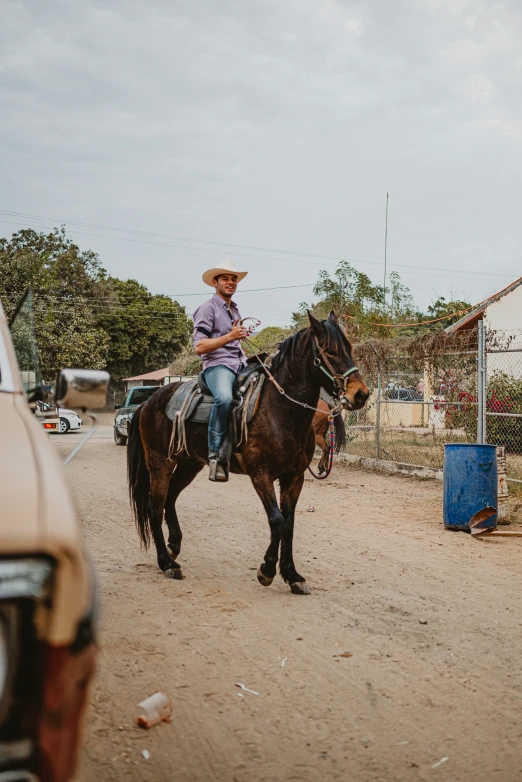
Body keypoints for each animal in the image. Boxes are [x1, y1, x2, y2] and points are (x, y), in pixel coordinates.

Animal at [127, 312, 368, 596]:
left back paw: (174, 546)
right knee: (155, 506)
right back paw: (166, 563)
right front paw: (267, 570)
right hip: (160, 463)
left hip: (189, 464)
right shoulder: (261, 474)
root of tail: (147, 402)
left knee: (170, 498)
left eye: (349, 348)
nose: (360, 394)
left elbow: (289, 525)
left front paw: (292, 575)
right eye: (330, 351)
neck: (280, 410)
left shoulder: (294, 478)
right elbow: (277, 521)